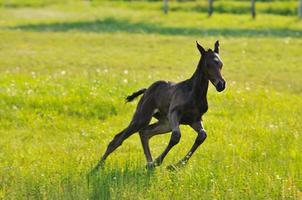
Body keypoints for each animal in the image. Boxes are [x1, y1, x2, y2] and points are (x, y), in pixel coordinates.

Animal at [95, 41, 225, 170]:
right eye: (208, 64)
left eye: (221, 64)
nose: (221, 85)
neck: (193, 92)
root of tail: (147, 90)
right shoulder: (174, 113)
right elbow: (176, 136)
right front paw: (160, 162)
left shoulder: (194, 120)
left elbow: (202, 135)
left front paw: (176, 165)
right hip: (142, 117)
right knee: (118, 138)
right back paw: (97, 167)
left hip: (165, 123)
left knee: (145, 132)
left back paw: (149, 164)